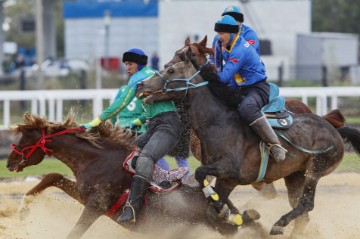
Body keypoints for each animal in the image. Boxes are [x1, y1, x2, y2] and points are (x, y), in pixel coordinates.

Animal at [6, 112, 262, 239]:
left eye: (25, 139)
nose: (9, 163)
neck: (97, 160)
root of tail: (220, 203)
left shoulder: (95, 207)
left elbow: (75, 232)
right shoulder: (84, 195)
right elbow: (52, 176)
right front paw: (23, 209)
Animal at [135, 49, 360, 235]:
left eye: (171, 69)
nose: (140, 84)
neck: (218, 123)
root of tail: (334, 129)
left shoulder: (233, 171)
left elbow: (200, 175)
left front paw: (218, 203)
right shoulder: (225, 180)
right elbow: (210, 207)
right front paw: (223, 209)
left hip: (315, 169)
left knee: (307, 204)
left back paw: (278, 224)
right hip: (295, 176)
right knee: (302, 212)